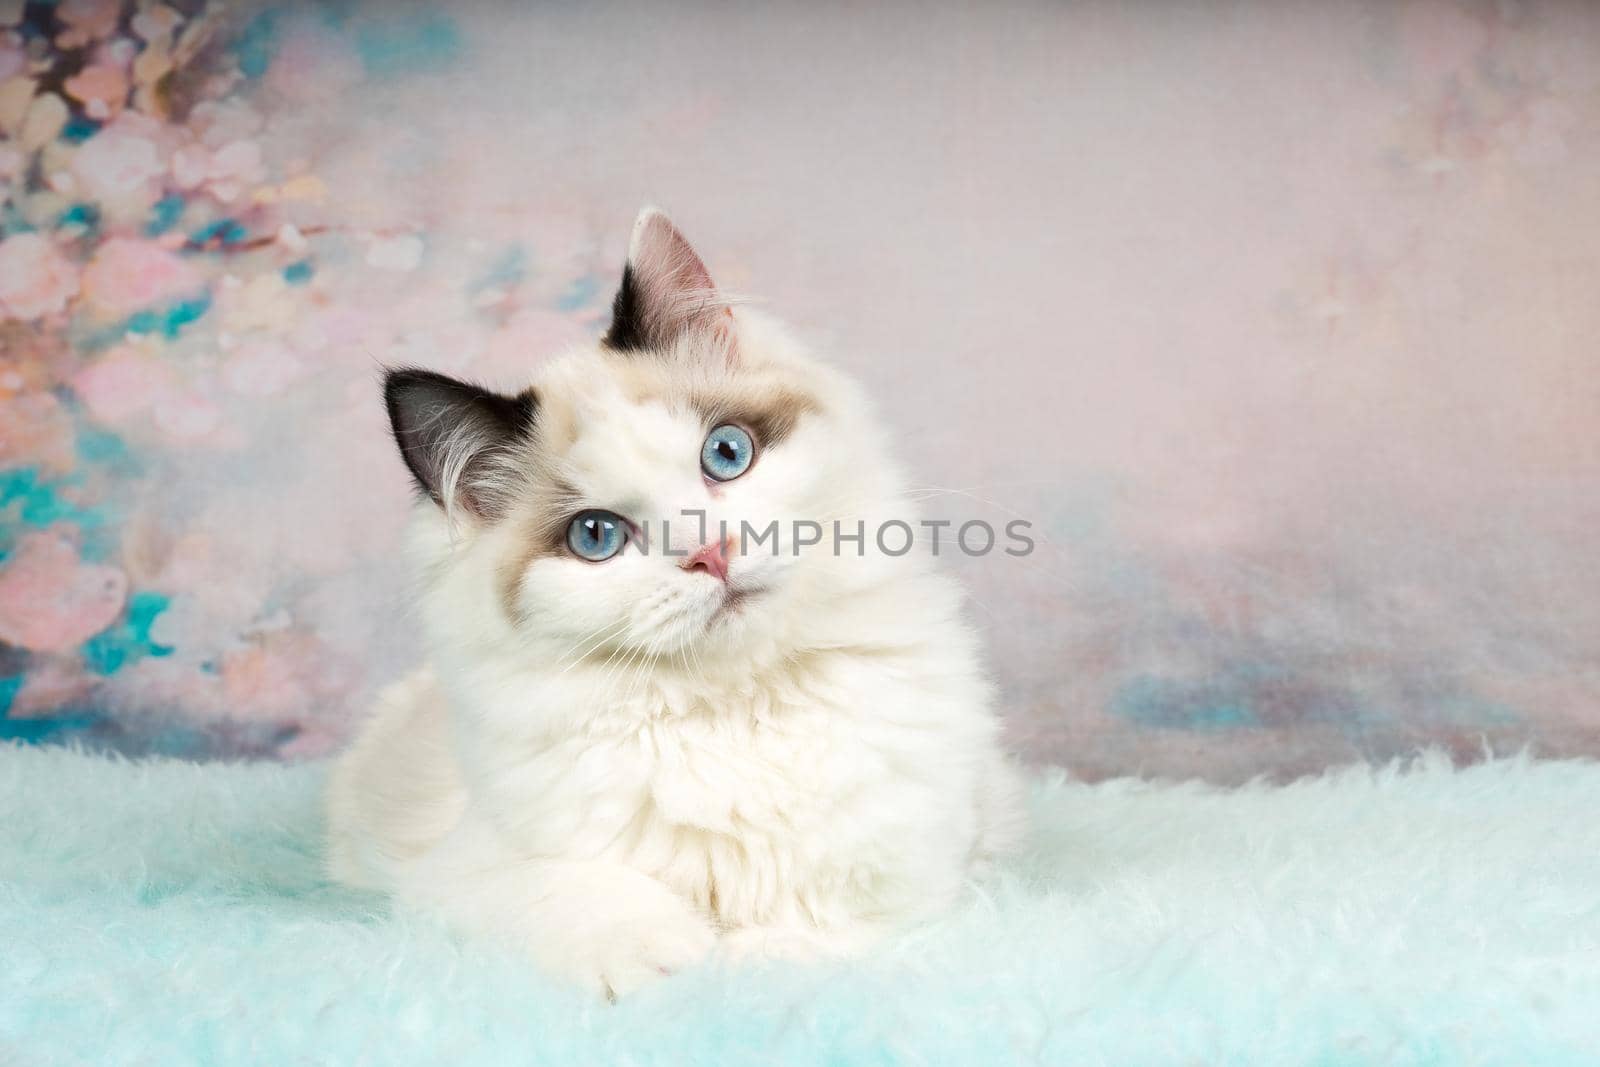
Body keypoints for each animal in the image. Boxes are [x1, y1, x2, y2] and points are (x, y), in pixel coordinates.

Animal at [324, 211, 1024, 1004]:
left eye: (725, 454)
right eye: (596, 536)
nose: (710, 552)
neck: (738, 703)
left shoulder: (917, 846)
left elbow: (823, 910)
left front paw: (759, 959)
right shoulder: (461, 871)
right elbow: (582, 892)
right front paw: (671, 958)